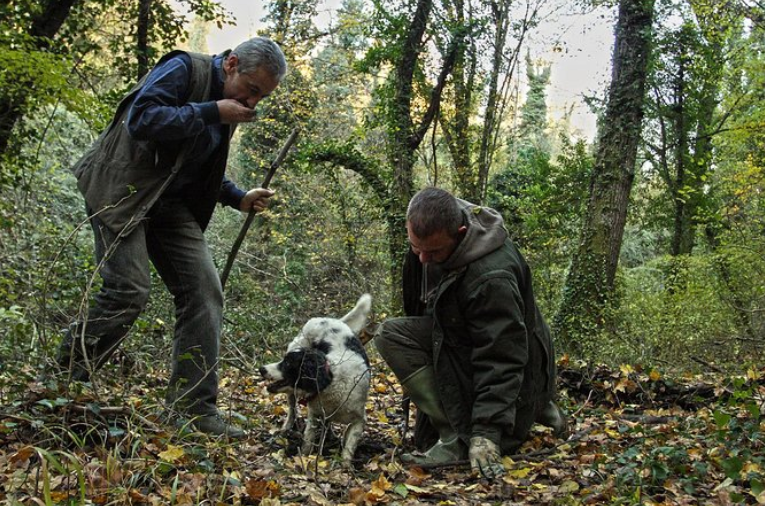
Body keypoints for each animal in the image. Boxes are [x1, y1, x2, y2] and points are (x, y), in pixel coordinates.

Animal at [260, 292, 374, 462]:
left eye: (287, 363)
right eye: (284, 360)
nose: (261, 369)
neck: (332, 381)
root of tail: (328, 319)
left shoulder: (359, 420)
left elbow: (348, 447)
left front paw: (345, 465)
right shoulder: (314, 414)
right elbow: (308, 440)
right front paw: (305, 458)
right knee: (292, 408)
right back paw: (287, 426)